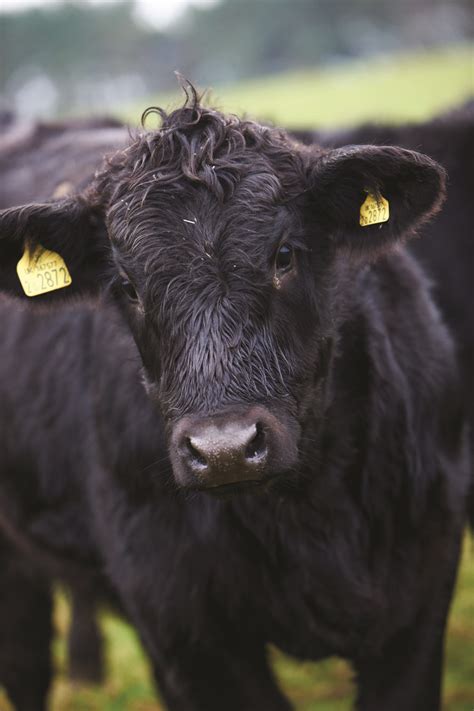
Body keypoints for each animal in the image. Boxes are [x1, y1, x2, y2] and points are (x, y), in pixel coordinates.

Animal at [0, 90, 470, 711]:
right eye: (127, 287)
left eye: (285, 255)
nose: (223, 448)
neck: (308, 511)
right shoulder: (185, 627)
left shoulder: (420, 595)